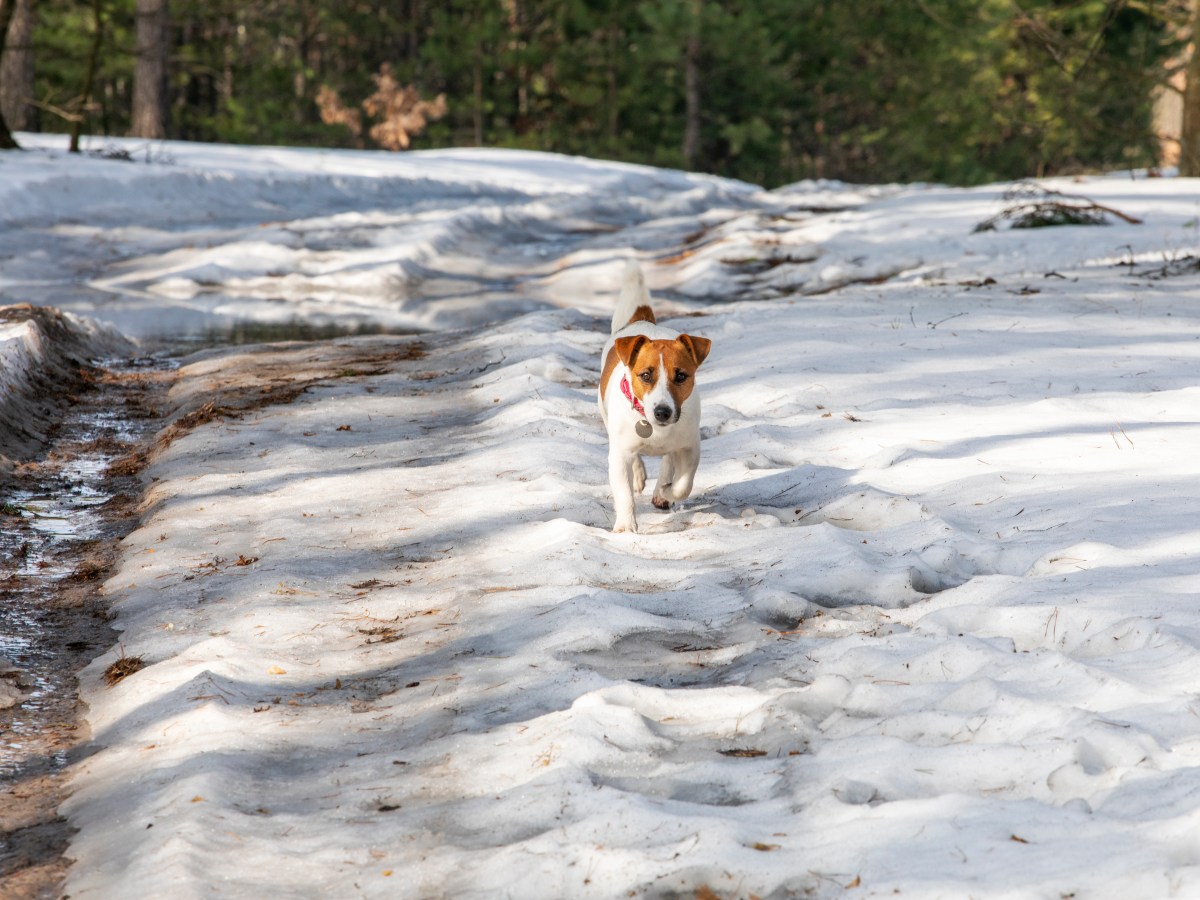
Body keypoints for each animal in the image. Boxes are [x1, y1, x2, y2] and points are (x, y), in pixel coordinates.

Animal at [600, 262, 710, 535]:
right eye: (646, 375)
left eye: (681, 376)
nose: (662, 412)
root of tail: (641, 320)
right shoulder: (619, 455)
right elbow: (624, 493)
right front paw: (626, 528)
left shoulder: (690, 447)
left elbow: (683, 484)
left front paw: (666, 491)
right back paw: (640, 476)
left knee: (669, 460)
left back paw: (662, 488)